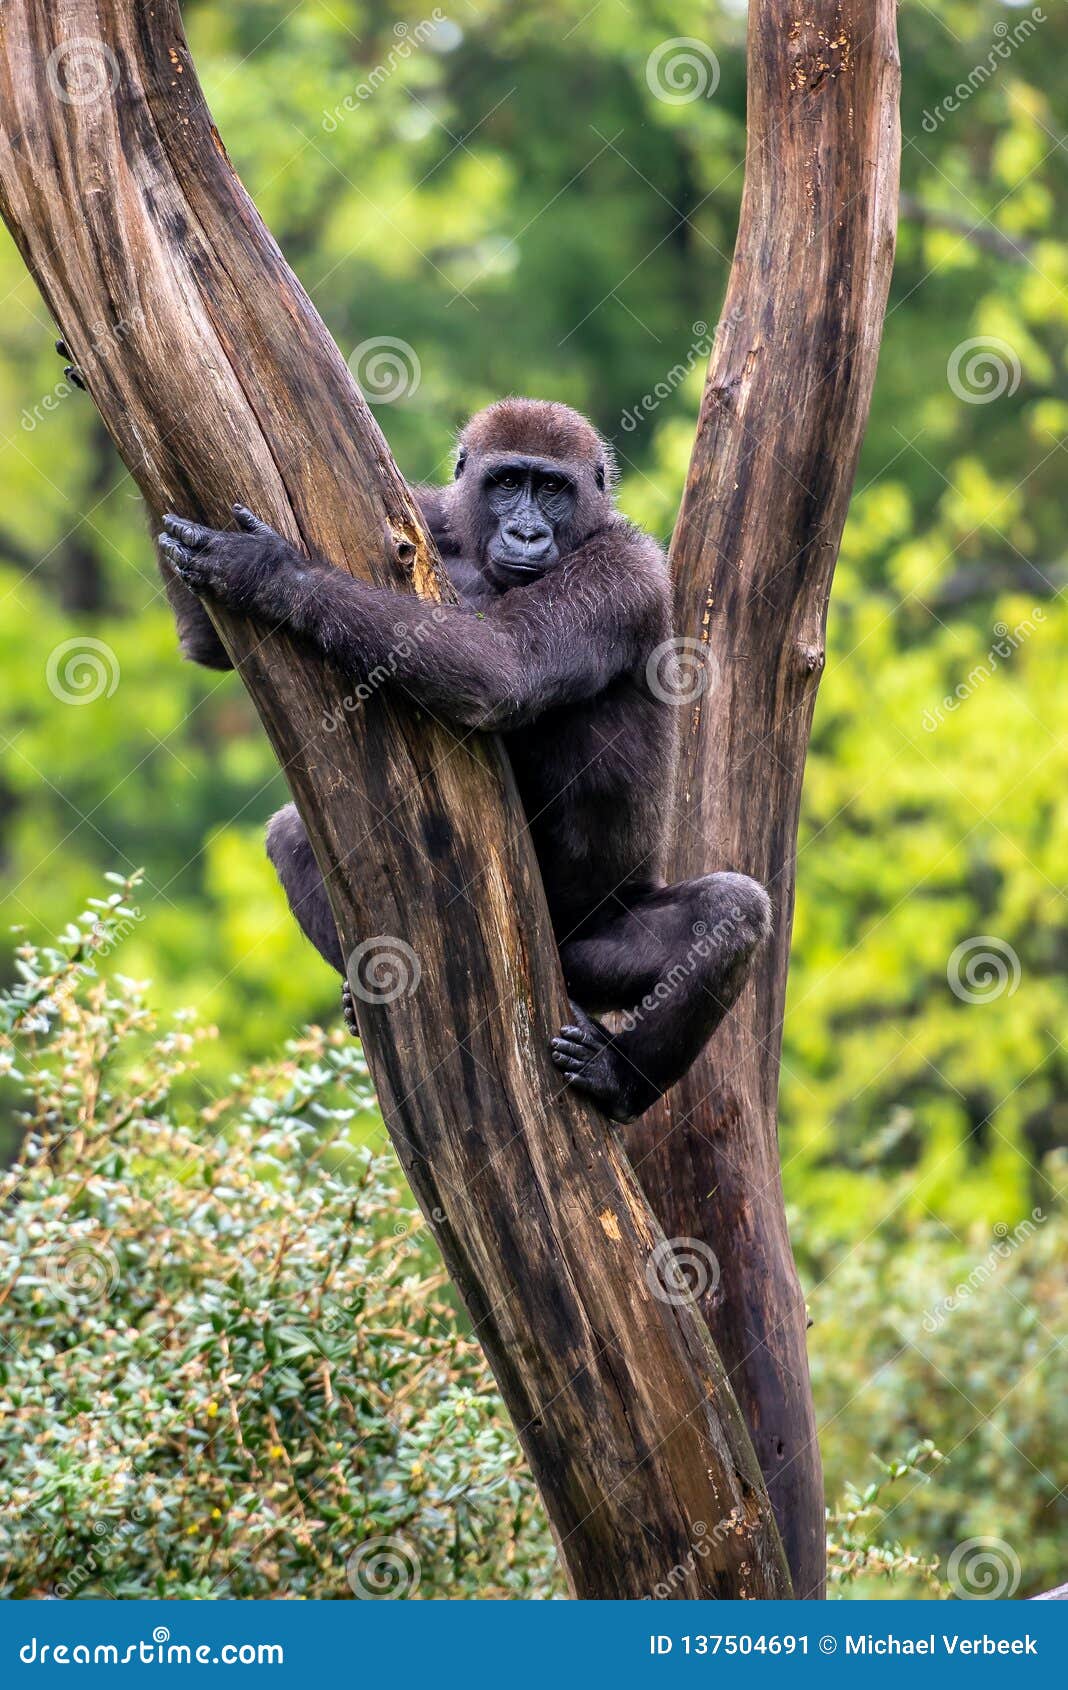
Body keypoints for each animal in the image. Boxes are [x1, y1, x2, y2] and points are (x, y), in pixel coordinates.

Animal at [155, 398, 770, 1123]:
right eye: (507, 483)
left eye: (553, 489)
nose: (528, 533)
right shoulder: (427, 513)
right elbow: (207, 646)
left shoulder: (626, 570)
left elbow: (503, 667)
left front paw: (270, 573)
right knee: (291, 836)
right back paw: (360, 1000)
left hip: (589, 949)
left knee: (730, 912)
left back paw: (621, 1080)